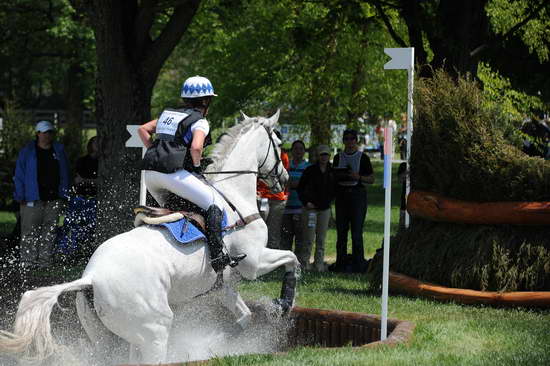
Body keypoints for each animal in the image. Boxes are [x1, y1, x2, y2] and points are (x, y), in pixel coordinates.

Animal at [0, 110, 300, 364]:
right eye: (279, 142)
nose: (285, 180)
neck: (234, 195)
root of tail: (92, 278)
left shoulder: (225, 283)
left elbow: (244, 316)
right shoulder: (254, 262)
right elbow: (292, 259)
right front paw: (283, 303)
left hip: (106, 335)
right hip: (154, 328)